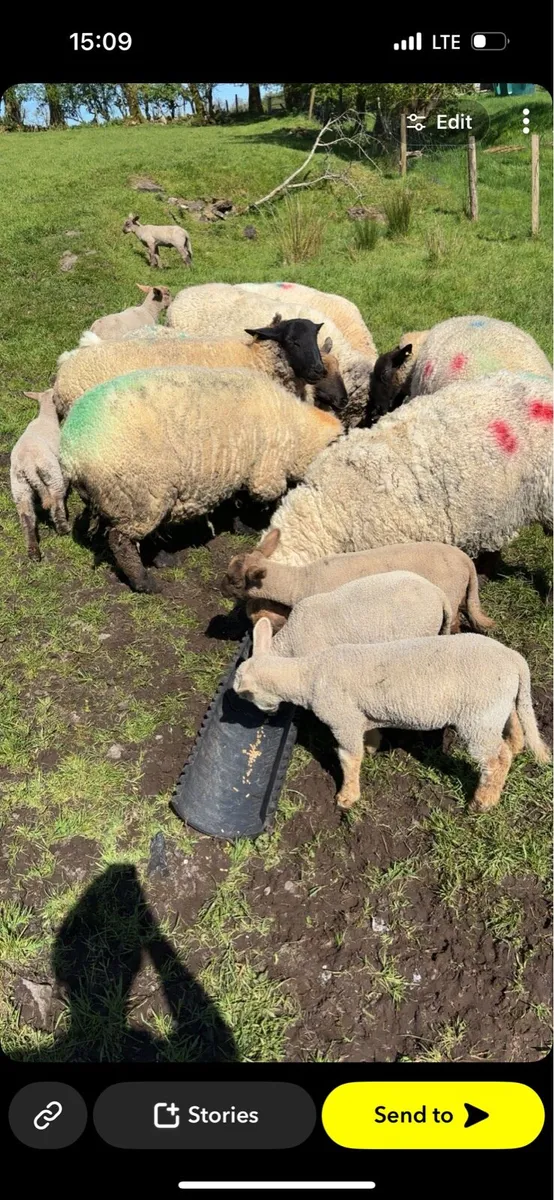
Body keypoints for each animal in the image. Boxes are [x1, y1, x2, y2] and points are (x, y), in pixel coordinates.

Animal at [10, 389, 69, 560]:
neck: (46, 416)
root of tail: (28, 465)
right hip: (50, 472)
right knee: (56, 501)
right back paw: (63, 528)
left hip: (19, 486)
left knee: (26, 517)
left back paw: (33, 552)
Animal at [59, 365, 343, 593]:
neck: (298, 430)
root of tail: (70, 453)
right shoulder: (264, 471)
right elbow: (253, 499)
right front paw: (249, 526)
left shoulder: (240, 468)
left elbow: (237, 499)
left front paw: (240, 527)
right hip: (137, 494)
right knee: (121, 541)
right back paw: (144, 582)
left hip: (135, 495)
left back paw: (162, 559)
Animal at [234, 617, 551, 812]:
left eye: (245, 695)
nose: (264, 713)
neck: (309, 675)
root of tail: (514, 660)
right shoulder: (360, 713)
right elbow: (369, 732)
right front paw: (372, 746)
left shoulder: (342, 718)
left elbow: (348, 758)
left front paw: (347, 796)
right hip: (496, 704)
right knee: (514, 723)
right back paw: (516, 745)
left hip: (477, 716)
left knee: (496, 759)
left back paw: (483, 801)